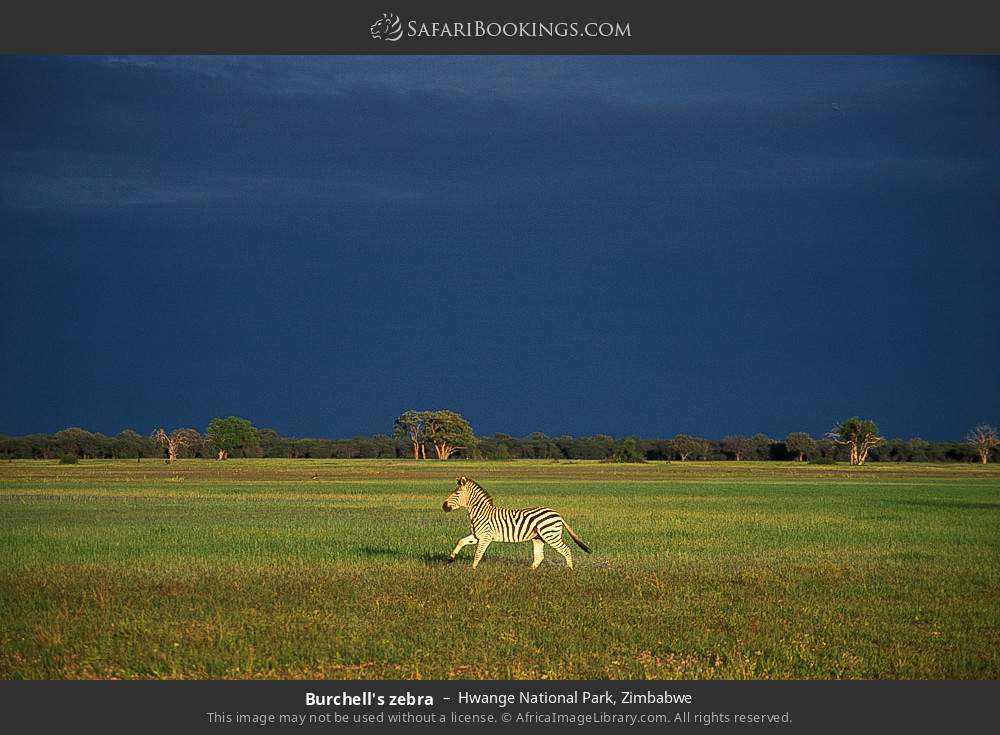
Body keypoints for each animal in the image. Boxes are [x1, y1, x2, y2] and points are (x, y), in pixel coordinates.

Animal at [442, 476, 591, 569]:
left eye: (457, 493)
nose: (443, 506)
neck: (481, 513)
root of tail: (558, 514)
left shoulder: (486, 537)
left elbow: (478, 554)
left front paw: (472, 570)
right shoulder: (477, 536)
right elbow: (461, 541)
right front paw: (451, 558)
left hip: (550, 535)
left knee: (566, 549)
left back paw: (569, 570)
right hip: (538, 538)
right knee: (539, 557)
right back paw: (529, 572)